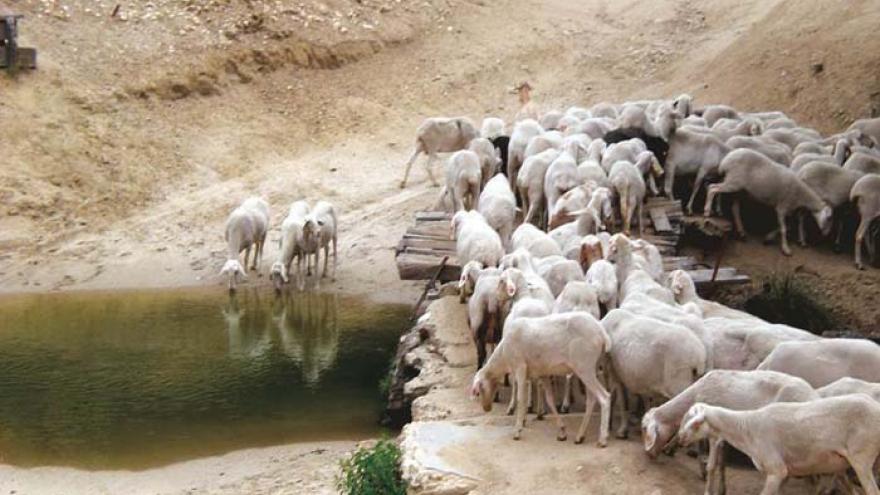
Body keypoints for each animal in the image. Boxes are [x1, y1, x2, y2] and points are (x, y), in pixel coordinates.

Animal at [468, 314, 612, 446]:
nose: (486, 408)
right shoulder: (543, 373)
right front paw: (562, 432)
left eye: (479, 390)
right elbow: (550, 400)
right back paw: (580, 436)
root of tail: (602, 333)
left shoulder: (520, 367)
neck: (503, 357)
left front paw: (517, 431)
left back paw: (602, 439)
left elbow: (521, 399)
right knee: (591, 400)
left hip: (584, 367)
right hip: (592, 368)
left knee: (604, 397)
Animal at [600, 308, 704, 440]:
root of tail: (698, 356)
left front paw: (622, 431)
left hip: (679, 380)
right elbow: (643, 398)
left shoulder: (616, 371)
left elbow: (623, 400)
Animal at [640, 370, 820, 494]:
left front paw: (708, 487)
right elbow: (722, 465)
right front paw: (722, 489)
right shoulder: (724, 434)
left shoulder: (713, 433)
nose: (648, 455)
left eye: (644, 429)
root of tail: (813, 395)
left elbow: (712, 465)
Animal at [676, 396, 880, 495]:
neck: (747, 428)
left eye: (695, 424)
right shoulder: (786, 474)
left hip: (862, 458)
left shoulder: (777, 470)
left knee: (872, 491)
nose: (680, 439)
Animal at [700, 147, 832, 256]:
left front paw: (769, 237)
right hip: (734, 182)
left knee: (732, 206)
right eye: (829, 218)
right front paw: (786, 249)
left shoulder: (786, 210)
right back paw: (707, 211)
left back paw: (736, 226)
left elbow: (784, 227)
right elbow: (784, 229)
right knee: (713, 188)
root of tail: (726, 160)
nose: (826, 235)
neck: (800, 195)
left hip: (736, 186)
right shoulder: (782, 207)